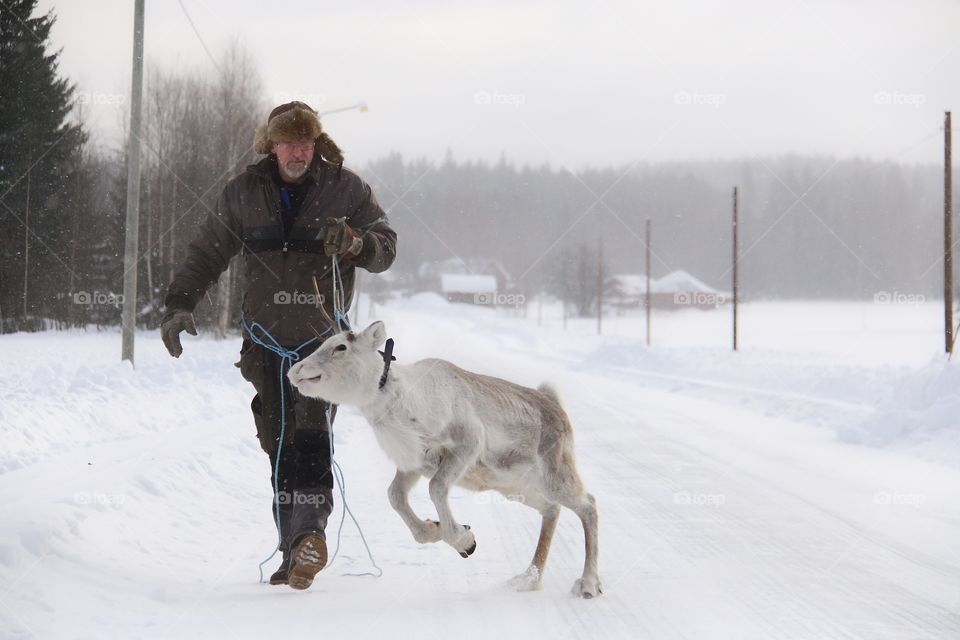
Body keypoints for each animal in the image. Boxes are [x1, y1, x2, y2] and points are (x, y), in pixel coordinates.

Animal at [286, 321, 602, 597]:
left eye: (340, 347)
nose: (295, 371)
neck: (399, 400)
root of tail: (555, 406)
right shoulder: (413, 465)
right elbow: (395, 497)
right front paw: (435, 528)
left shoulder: (467, 444)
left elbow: (436, 488)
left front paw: (464, 540)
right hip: (517, 488)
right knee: (552, 510)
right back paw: (527, 579)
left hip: (553, 476)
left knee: (588, 505)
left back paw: (588, 584)